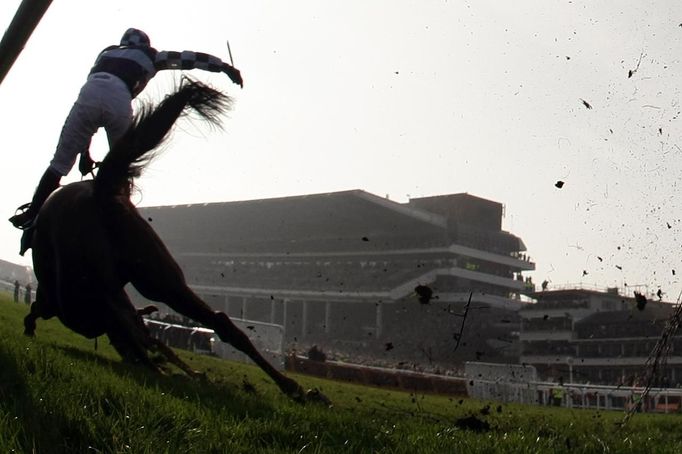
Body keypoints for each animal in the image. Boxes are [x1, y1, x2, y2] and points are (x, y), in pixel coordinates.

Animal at [24, 80, 324, 402]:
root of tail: (101, 194)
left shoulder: (78, 303)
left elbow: (140, 341)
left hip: (119, 278)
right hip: (158, 276)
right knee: (218, 321)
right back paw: (295, 388)